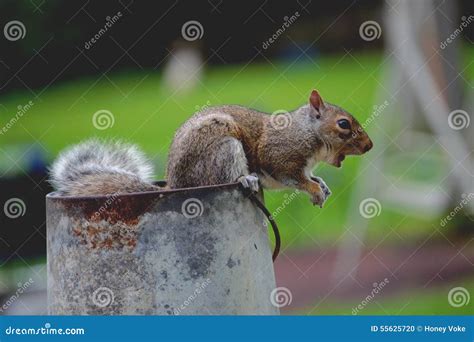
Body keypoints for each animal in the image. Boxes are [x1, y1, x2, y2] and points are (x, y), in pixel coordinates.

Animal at [50, 89, 372, 207]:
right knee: (224, 176)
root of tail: (177, 183)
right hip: (223, 148)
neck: (306, 131)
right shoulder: (279, 156)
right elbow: (293, 178)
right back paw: (244, 178)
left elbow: (308, 176)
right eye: (344, 124)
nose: (369, 145)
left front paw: (321, 183)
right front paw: (314, 189)